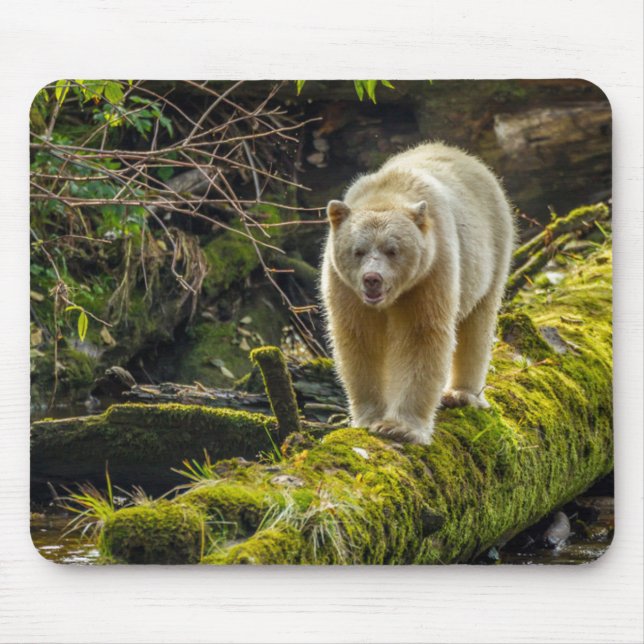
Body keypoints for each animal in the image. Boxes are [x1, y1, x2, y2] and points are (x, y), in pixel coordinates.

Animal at [321, 142, 515, 445]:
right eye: (358, 250)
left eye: (392, 250)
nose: (372, 279)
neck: (387, 194)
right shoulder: (344, 287)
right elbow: (359, 340)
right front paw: (370, 418)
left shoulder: (430, 273)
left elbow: (421, 336)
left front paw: (400, 427)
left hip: (490, 253)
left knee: (477, 325)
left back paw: (461, 393)